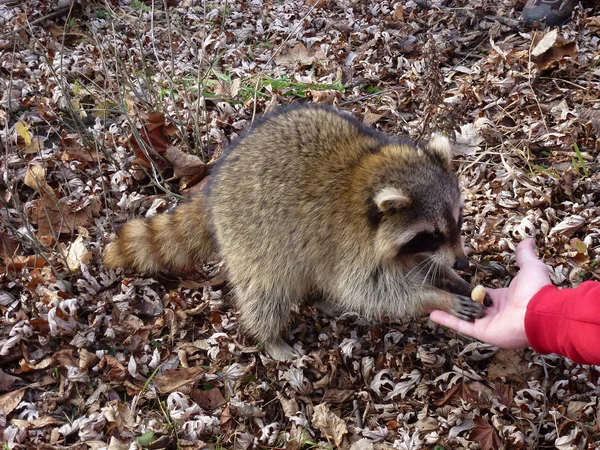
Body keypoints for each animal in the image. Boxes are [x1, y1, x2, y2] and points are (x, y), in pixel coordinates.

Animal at [103, 103, 488, 360]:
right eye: (431, 234)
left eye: (457, 221)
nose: (464, 263)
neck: (368, 174)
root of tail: (213, 190)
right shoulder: (353, 244)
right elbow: (374, 291)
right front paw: (432, 297)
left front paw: (448, 277)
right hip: (251, 237)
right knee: (267, 290)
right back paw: (270, 335)